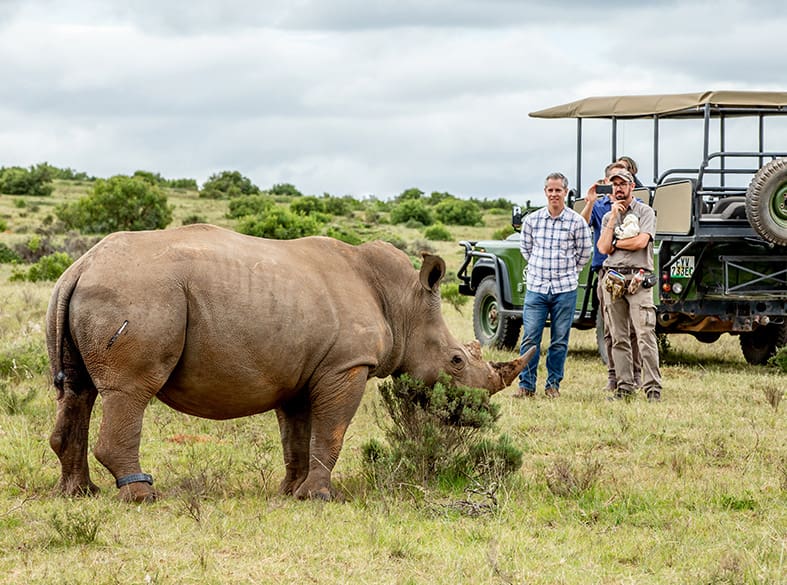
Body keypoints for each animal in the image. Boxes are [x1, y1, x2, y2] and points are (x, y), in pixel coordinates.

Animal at [46, 224, 531, 502]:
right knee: (129, 391)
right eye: (455, 360)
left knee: (78, 391)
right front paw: (319, 497)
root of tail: (80, 265)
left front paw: (290, 491)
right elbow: (331, 432)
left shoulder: (300, 369)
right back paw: (142, 496)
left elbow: (297, 435)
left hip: (97, 291)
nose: (475, 411)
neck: (403, 302)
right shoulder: (347, 366)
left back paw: (79, 494)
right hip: (139, 295)